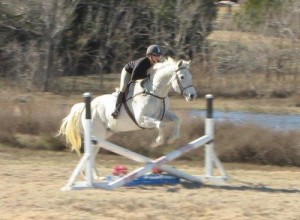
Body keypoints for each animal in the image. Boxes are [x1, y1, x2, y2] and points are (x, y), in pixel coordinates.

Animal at [58, 56, 197, 156]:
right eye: (182, 77)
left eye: (191, 76)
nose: (192, 96)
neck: (156, 93)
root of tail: (84, 108)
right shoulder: (141, 119)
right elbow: (161, 125)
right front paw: (157, 142)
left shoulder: (163, 113)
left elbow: (178, 119)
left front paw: (172, 139)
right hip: (97, 133)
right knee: (90, 153)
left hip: (105, 134)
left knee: (93, 152)